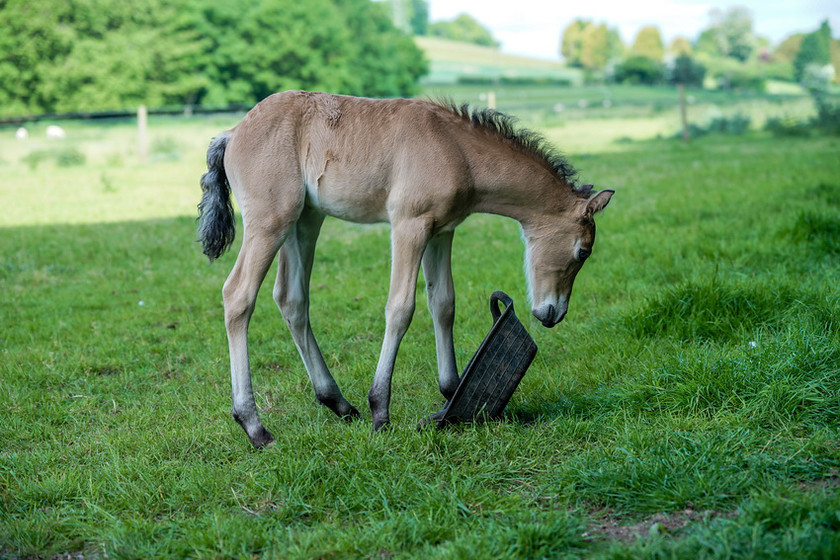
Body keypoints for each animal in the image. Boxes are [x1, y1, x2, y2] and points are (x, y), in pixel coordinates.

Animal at [200, 93, 612, 450]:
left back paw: (337, 403)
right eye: (583, 251)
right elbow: (400, 308)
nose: (553, 314)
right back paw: (255, 427)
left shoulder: (442, 231)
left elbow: (443, 303)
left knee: (292, 300)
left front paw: (452, 391)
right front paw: (380, 410)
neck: (457, 149)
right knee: (238, 296)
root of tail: (232, 133)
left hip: (305, 221)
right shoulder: (409, 225)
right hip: (271, 220)